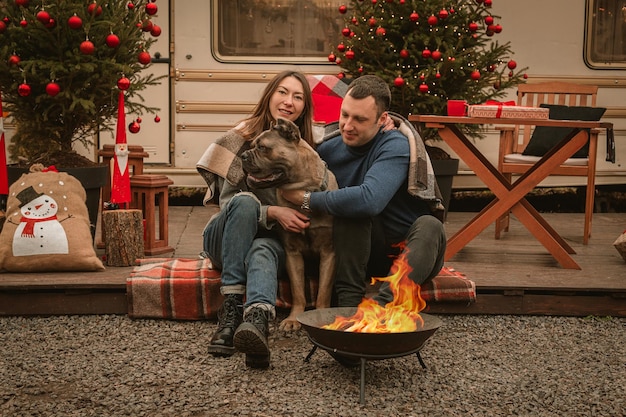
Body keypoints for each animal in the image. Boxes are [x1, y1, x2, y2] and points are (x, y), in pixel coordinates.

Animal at [240, 118, 336, 332]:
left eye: (262, 147)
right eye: (253, 145)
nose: (243, 155)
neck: (304, 191)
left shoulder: (329, 252)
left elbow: (324, 290)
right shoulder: (293, 253)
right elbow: (297, 289)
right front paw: (293, 319)